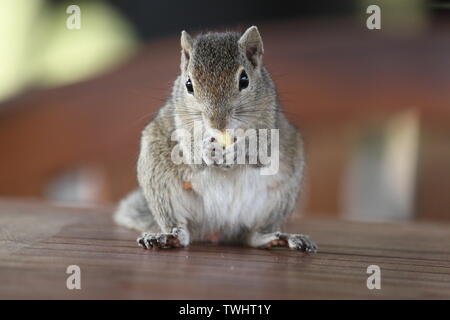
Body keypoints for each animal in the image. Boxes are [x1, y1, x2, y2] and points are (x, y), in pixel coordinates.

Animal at [113, 26, 316, 252]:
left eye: (244, 80)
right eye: (188, 84)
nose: (217, 123)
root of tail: (219, 229)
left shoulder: (269, 122)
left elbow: (261, 151)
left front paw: (239, 151)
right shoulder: (181, 121)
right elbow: (191, 152)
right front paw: (205, 151)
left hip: (281, 195)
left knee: (253, 236)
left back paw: (276, 238)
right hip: (160, 182)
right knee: (182, 231)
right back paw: (168, 237)